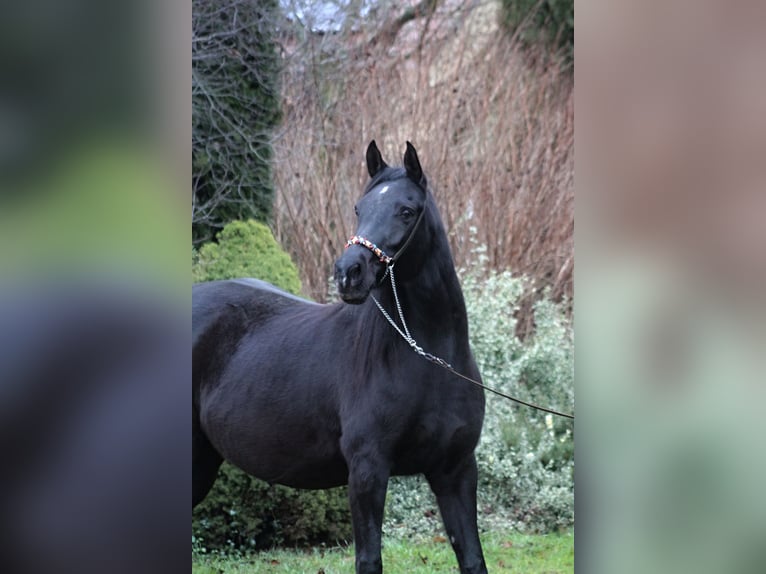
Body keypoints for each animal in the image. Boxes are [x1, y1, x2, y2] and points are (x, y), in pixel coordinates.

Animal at [195, 141, 488, 574]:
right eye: (359, 209)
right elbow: (369, 560)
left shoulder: (456, 471)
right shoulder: (367, 470)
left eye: (406, 210)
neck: (429, 359)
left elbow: (472, 558)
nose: (349, 273)